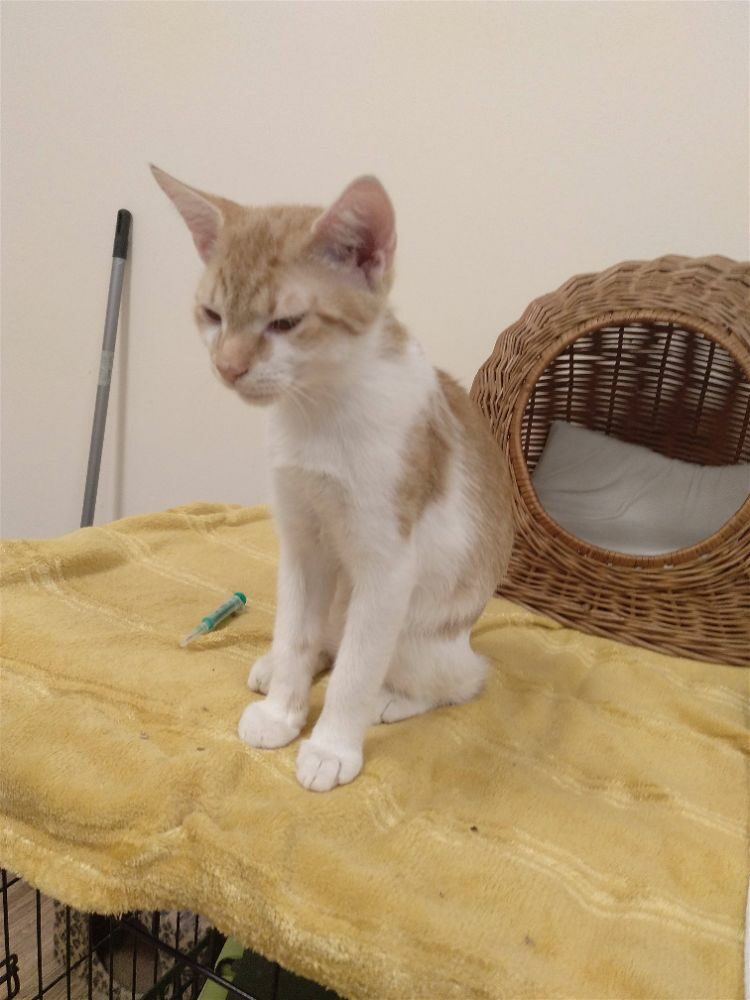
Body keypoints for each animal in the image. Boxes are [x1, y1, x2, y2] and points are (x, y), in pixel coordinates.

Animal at [152, 166, 514, 792]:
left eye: (286, 323)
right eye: (212, 314)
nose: (227, 367)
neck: (317, 413)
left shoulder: (388, 567)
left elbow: (357, 668)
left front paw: (331, 745)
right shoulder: (301, 541)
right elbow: (295, 633)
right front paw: (282, 711)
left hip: (423, 636)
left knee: (459, 679)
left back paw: (392, 700)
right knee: (320, 634)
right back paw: (277, 667)